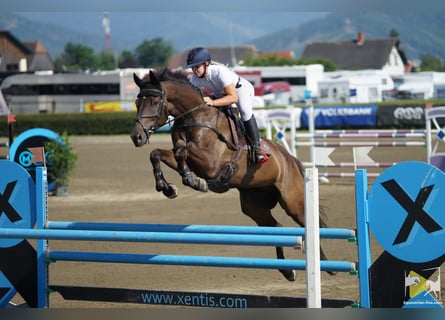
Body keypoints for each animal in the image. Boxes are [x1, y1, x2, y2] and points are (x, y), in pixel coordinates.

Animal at [130, 67, 332, 280]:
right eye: (137, 103)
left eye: (154, 102)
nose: (136, 137)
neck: (193, 118)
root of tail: (290, 159)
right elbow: (158, 154)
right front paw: (167, 187)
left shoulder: (211, 163)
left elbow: (182, 152)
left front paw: (193, 181)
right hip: (254, 205)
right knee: (276, 227)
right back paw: (287, 270)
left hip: (293, 201)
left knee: (308, 224)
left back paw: (327, 265)